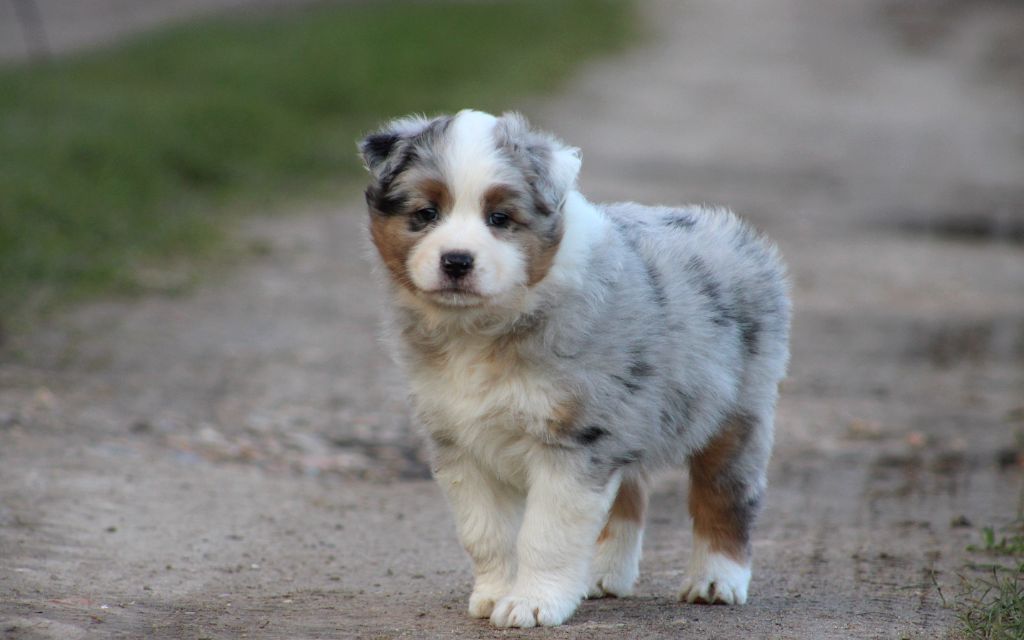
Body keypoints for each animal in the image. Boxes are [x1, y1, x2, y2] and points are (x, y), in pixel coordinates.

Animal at [358, 110, 790, 628]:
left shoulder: (573, 440)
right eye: (425, 214)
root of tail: (730, 229)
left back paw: (715, 582)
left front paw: (532, 603)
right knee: (628, 495)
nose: (457, 261)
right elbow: (486, 533)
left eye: (500, 219)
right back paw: (601, 577)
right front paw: (495, 594)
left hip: (737, 411)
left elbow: (546, 535)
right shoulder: (461, 443)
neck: (483, 329)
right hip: (627, 416)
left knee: (724, 497)